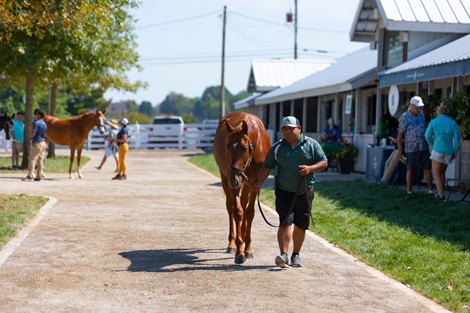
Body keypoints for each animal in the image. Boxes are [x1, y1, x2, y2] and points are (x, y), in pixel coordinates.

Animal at [213, 112, 272, 264]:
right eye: (227, 147)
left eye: (244, 148)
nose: (234, 180)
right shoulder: (233, 181)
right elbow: (238, 212)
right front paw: (239, 251)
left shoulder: (255, 184)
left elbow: (249, 212)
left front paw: (248, 248)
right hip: (225, 178)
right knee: (230, 208)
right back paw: (232, 244)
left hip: (245, 183)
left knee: (245, 204)